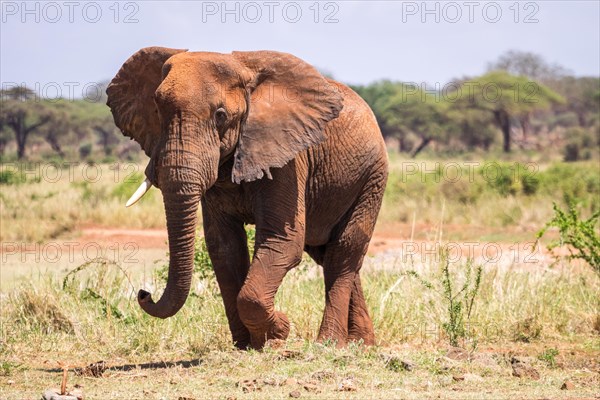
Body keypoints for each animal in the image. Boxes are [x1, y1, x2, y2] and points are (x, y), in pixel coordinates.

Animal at [106, 46, 390, 346]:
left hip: (372, 178)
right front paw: (247, 344)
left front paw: (279, 331)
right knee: (330, 255)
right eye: (158, 111)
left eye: (220, 115)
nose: (144, 293)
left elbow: (283, 240)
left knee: (344, 250)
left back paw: (330, 343)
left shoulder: (287, 158)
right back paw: (362, 343)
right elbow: (225, 247)